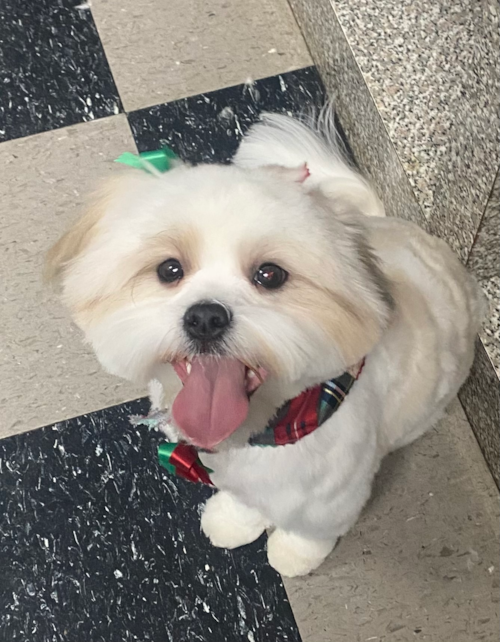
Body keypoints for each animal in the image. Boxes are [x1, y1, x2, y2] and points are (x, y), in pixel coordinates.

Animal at [47, 111, 484, 576]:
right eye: (169, 269)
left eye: (270, 275)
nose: (206, 318)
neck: (269, 426)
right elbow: (244, 502)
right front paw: (233, 521)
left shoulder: (330, 498)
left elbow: (309, 530)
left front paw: (293, 554)